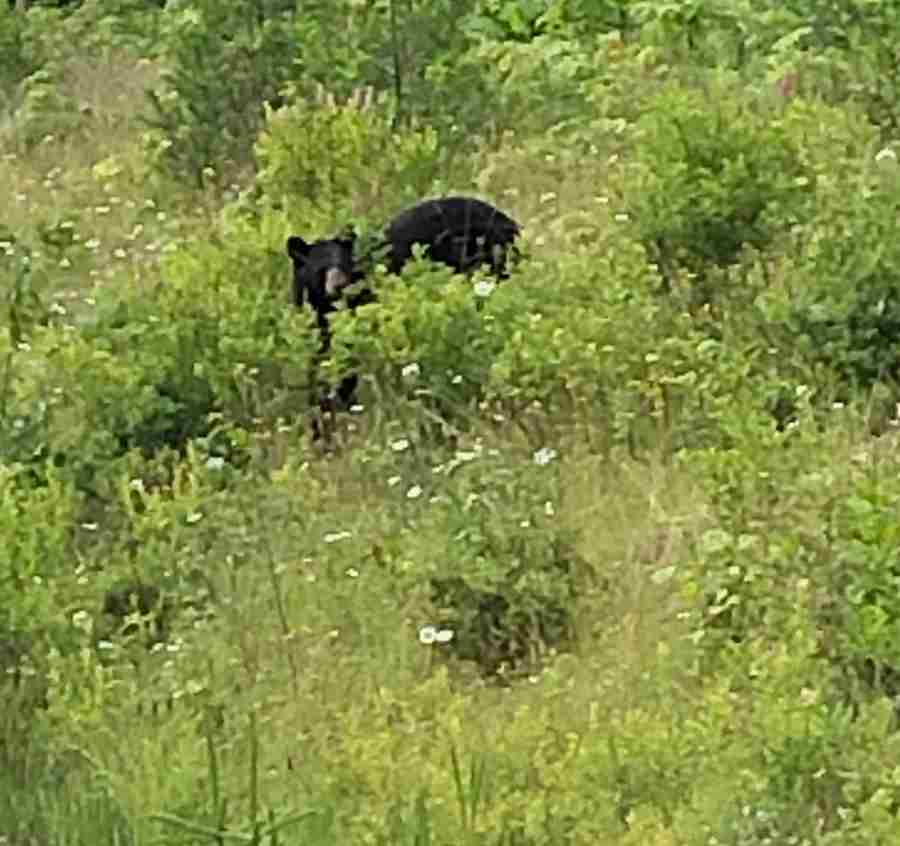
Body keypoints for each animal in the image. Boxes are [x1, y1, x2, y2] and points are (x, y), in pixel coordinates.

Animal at [284, 195, 524, 428]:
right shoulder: (315, 321)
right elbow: (319, 359)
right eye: (320, 268)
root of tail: (508, 220)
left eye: (344, 265)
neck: (327, 307)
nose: (340, 286)